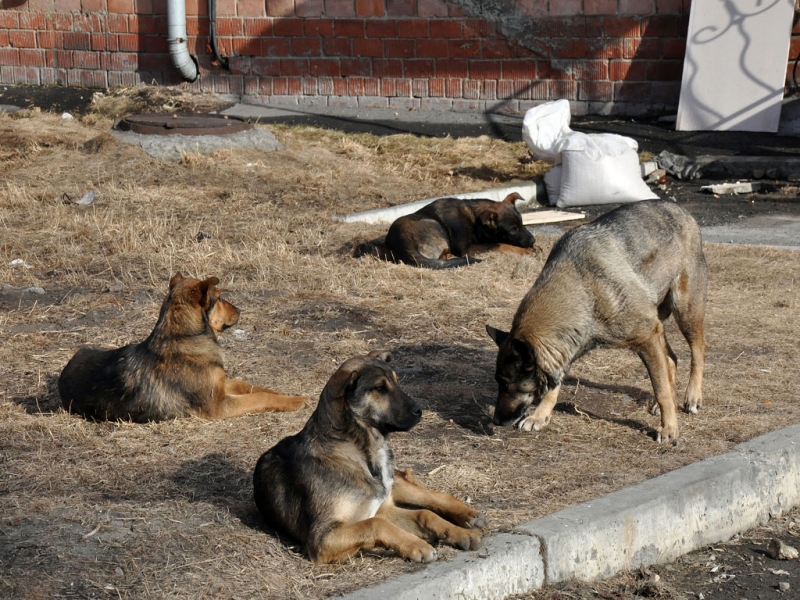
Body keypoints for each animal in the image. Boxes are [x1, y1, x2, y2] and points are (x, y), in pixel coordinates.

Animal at [57, 274, 308, 422]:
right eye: (219, 298)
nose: (240, 310)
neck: (183, 337)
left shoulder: (219, 385)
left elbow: (249, 386)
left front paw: (283, 393)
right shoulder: (219, 405)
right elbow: (259, 398)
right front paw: (295, 400)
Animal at [253, 350, 484, 564]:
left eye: (397, 382)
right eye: (380, 388)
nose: (420, 411)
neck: (356, 449)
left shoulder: (382, 507)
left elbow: (423, 514)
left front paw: (455, 533)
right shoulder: (323, 537)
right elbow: (379, 524)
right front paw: (417, 545)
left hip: (393, 485)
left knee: (430, 496)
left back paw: (468, 520)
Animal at [354, 193, 532, 268]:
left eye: (522, 223)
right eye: (513, 230)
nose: (533, 240)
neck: (475, 219)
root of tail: (402, 244)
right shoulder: (468, 249)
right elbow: (501, 245)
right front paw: (526, 251)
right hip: (434, 224)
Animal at [488, 202, 708, 446]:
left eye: (507, 384)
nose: (496, 420)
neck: (583, 291)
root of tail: (682, 210)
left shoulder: (647, 338)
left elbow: (661, 389)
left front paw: (669, 428)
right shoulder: (567, 347)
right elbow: (553, 387)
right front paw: (539, 416)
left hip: (685, 311)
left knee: (698, 350)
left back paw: (693, 396)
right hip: (660, 323)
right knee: (671, 357)